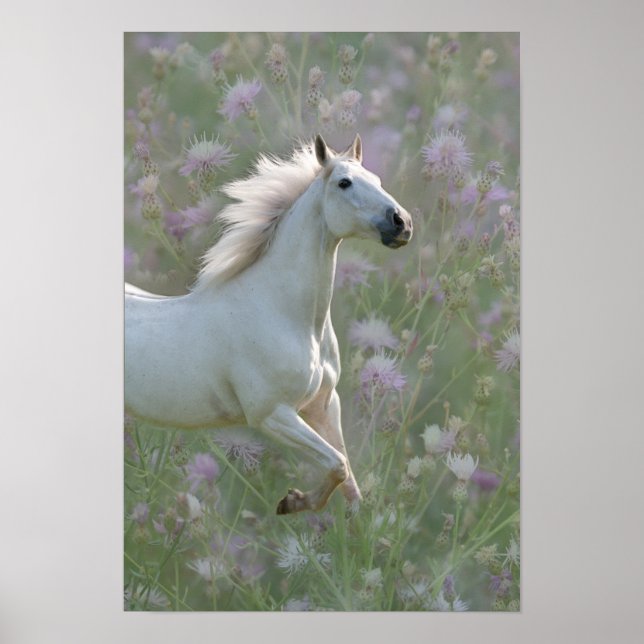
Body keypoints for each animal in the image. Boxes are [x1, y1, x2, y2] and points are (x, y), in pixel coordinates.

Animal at [125, 134, 412, 514]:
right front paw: (292, 503)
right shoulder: (273, 415)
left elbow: (349, 479)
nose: (401, 223)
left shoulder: (323, 405)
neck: (284, 314)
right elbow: (337, 464)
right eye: (344, 183)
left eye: (377, 180)